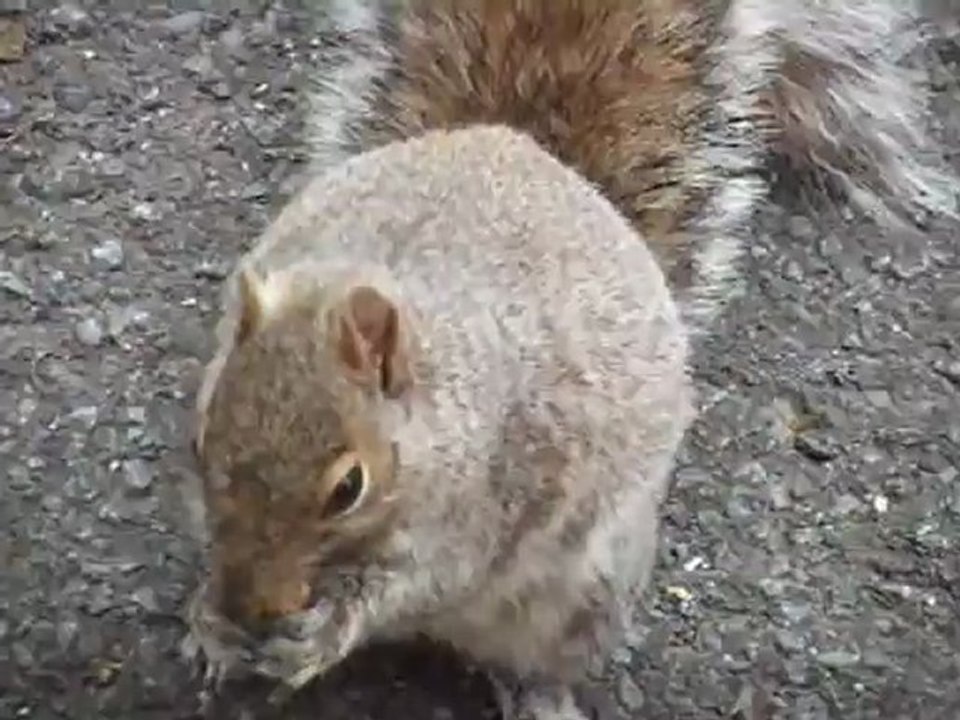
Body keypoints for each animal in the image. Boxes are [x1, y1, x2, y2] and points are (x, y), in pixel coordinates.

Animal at [182, 2, 958, 719]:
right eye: (200, 440)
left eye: (349, 488)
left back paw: (539, 698)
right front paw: (210, 626)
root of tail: (532, 152)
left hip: (586, 595)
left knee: (539, 658)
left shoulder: (485, 502)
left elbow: (421, 581)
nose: (251, 603)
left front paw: (321, 631)